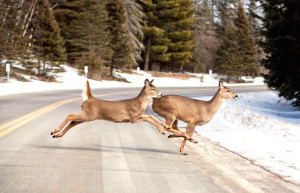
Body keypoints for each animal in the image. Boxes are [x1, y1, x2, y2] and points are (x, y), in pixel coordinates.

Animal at [49, 78, 190, 139]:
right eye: (153, 89)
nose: (161, 94)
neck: (139, 104)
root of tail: (89, 98)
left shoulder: (137, 117)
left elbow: (149, 116)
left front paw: (166, 127)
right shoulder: (132, 118)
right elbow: (149, 118)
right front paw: (161, 129)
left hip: (88, 116)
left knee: (73, 121)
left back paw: (58, 135)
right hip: (88, 114)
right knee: (71, 115)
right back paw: (54, 131)